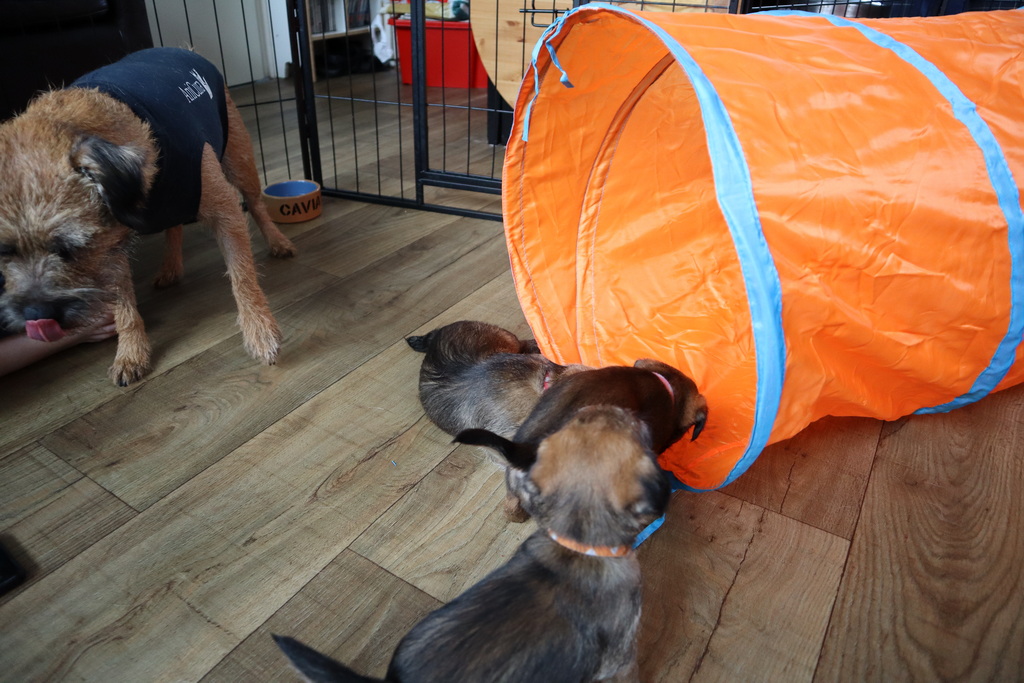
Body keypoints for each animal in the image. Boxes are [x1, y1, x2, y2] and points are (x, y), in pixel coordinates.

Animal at [0, 47, 295, 385]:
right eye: (3, 253)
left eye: (67, 249)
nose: (35, 316)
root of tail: (181, 48)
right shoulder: (108, 251)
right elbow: (124, 308)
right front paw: (130, 353)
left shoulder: (226, 212)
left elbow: (243, 277)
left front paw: (259, 330)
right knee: (174, 224)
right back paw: (171, 267)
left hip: (239, 159)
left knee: (256, 204)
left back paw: (278, 242)